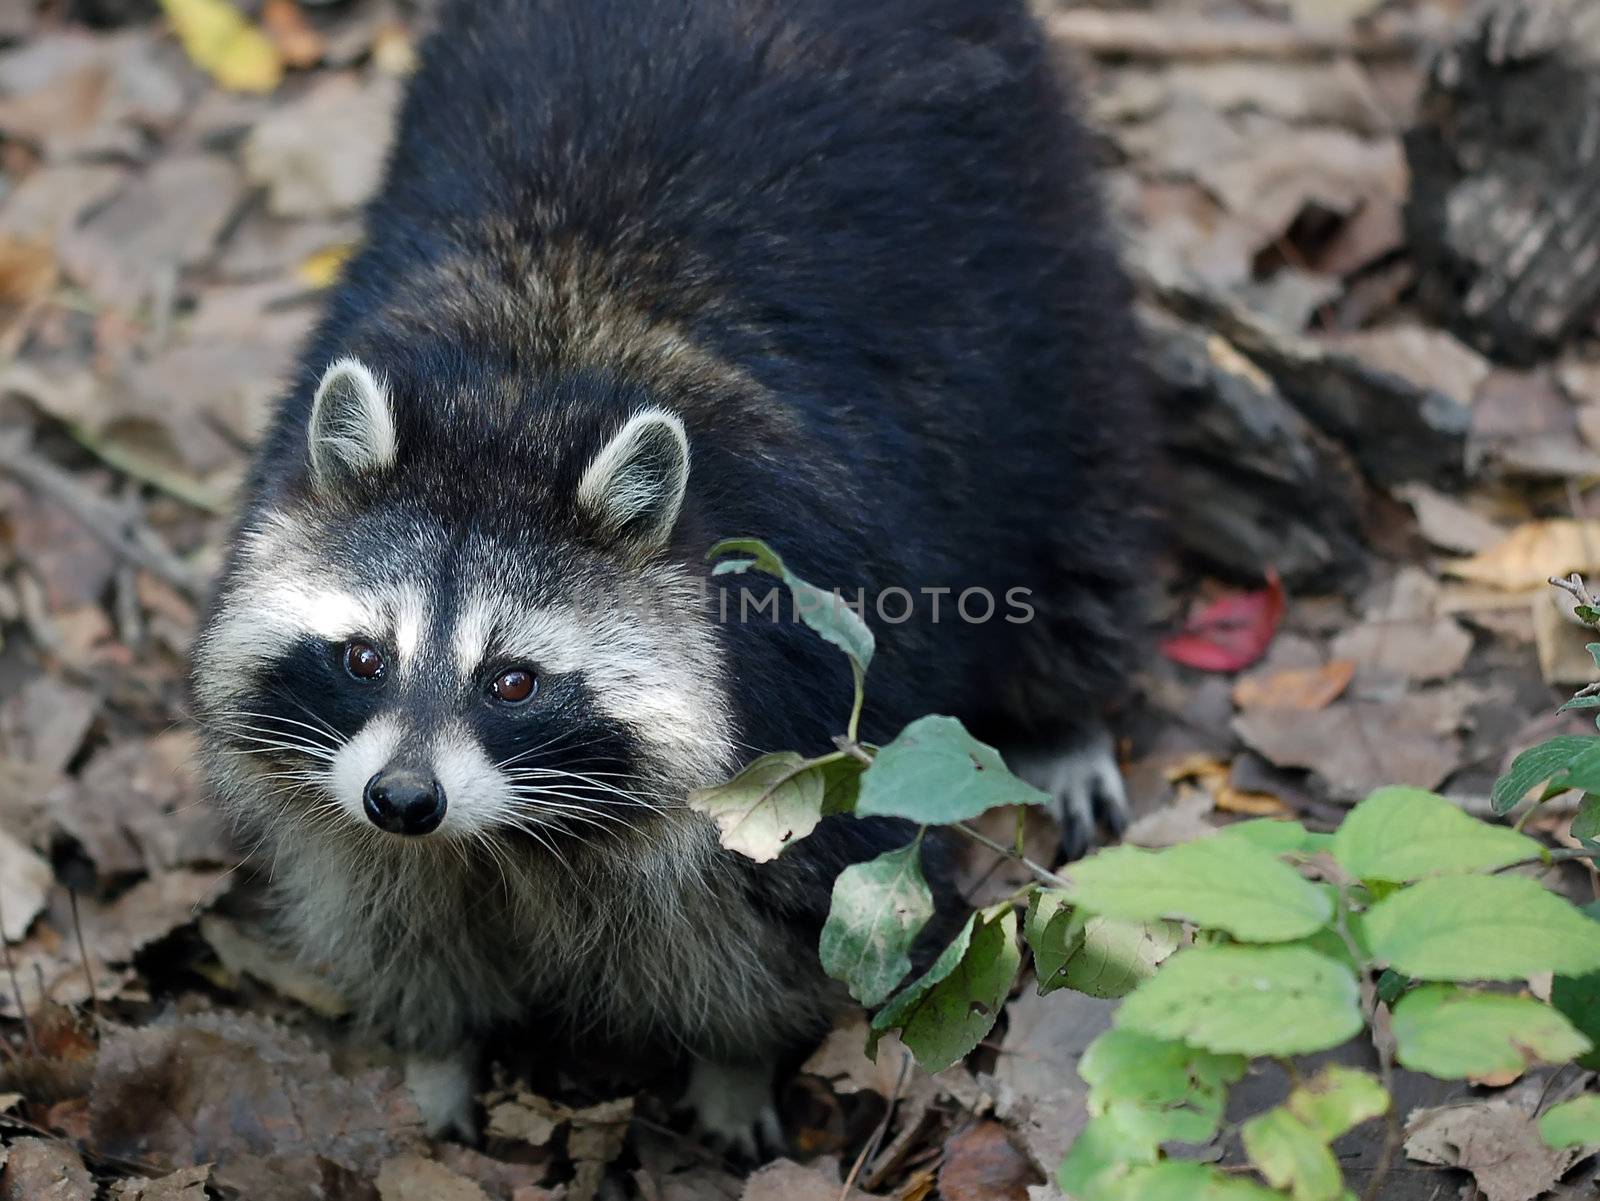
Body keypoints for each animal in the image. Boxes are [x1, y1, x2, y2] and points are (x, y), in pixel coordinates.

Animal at [196, 0, 1152, 1157]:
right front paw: (435, 1053)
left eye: (512, 680)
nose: (406, 798)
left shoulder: (799, 714)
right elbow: (386, 908)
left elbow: (791, 922)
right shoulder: (348, 795)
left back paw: (1065, 710)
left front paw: (735, 1066)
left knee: (1079, 506)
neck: (521, 389)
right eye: (363, 657)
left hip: (1040, 269)